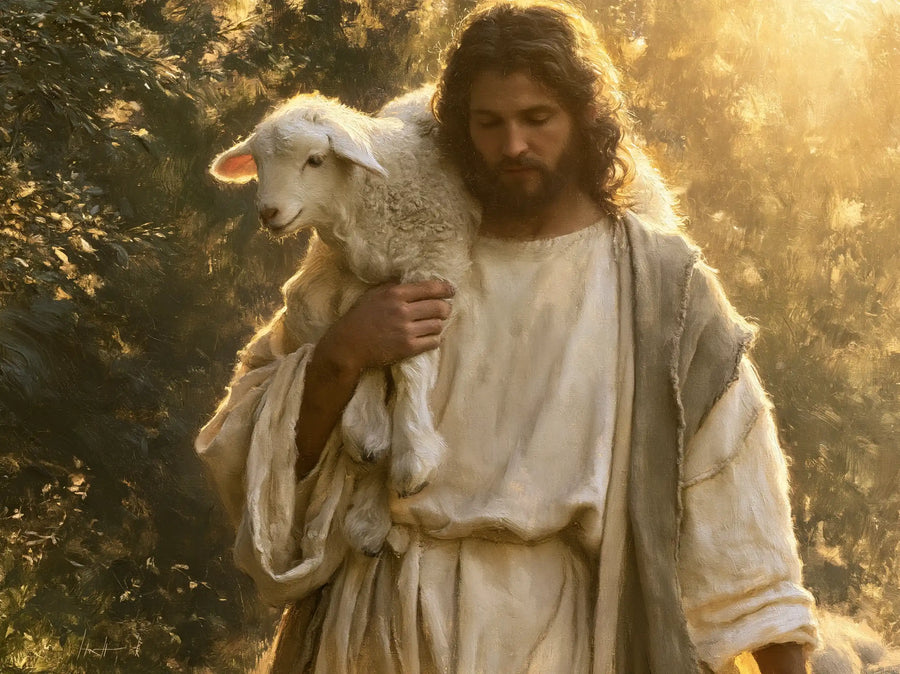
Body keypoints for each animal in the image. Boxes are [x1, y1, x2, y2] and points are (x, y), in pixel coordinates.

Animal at [210, 87, 480, 555]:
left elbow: (410, 367)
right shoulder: (357, 279)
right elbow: (359, 341)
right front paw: (368, 429)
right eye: (258, 163)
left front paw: (412, 456)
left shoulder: (435, 260)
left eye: (316, 160)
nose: (269, 212)